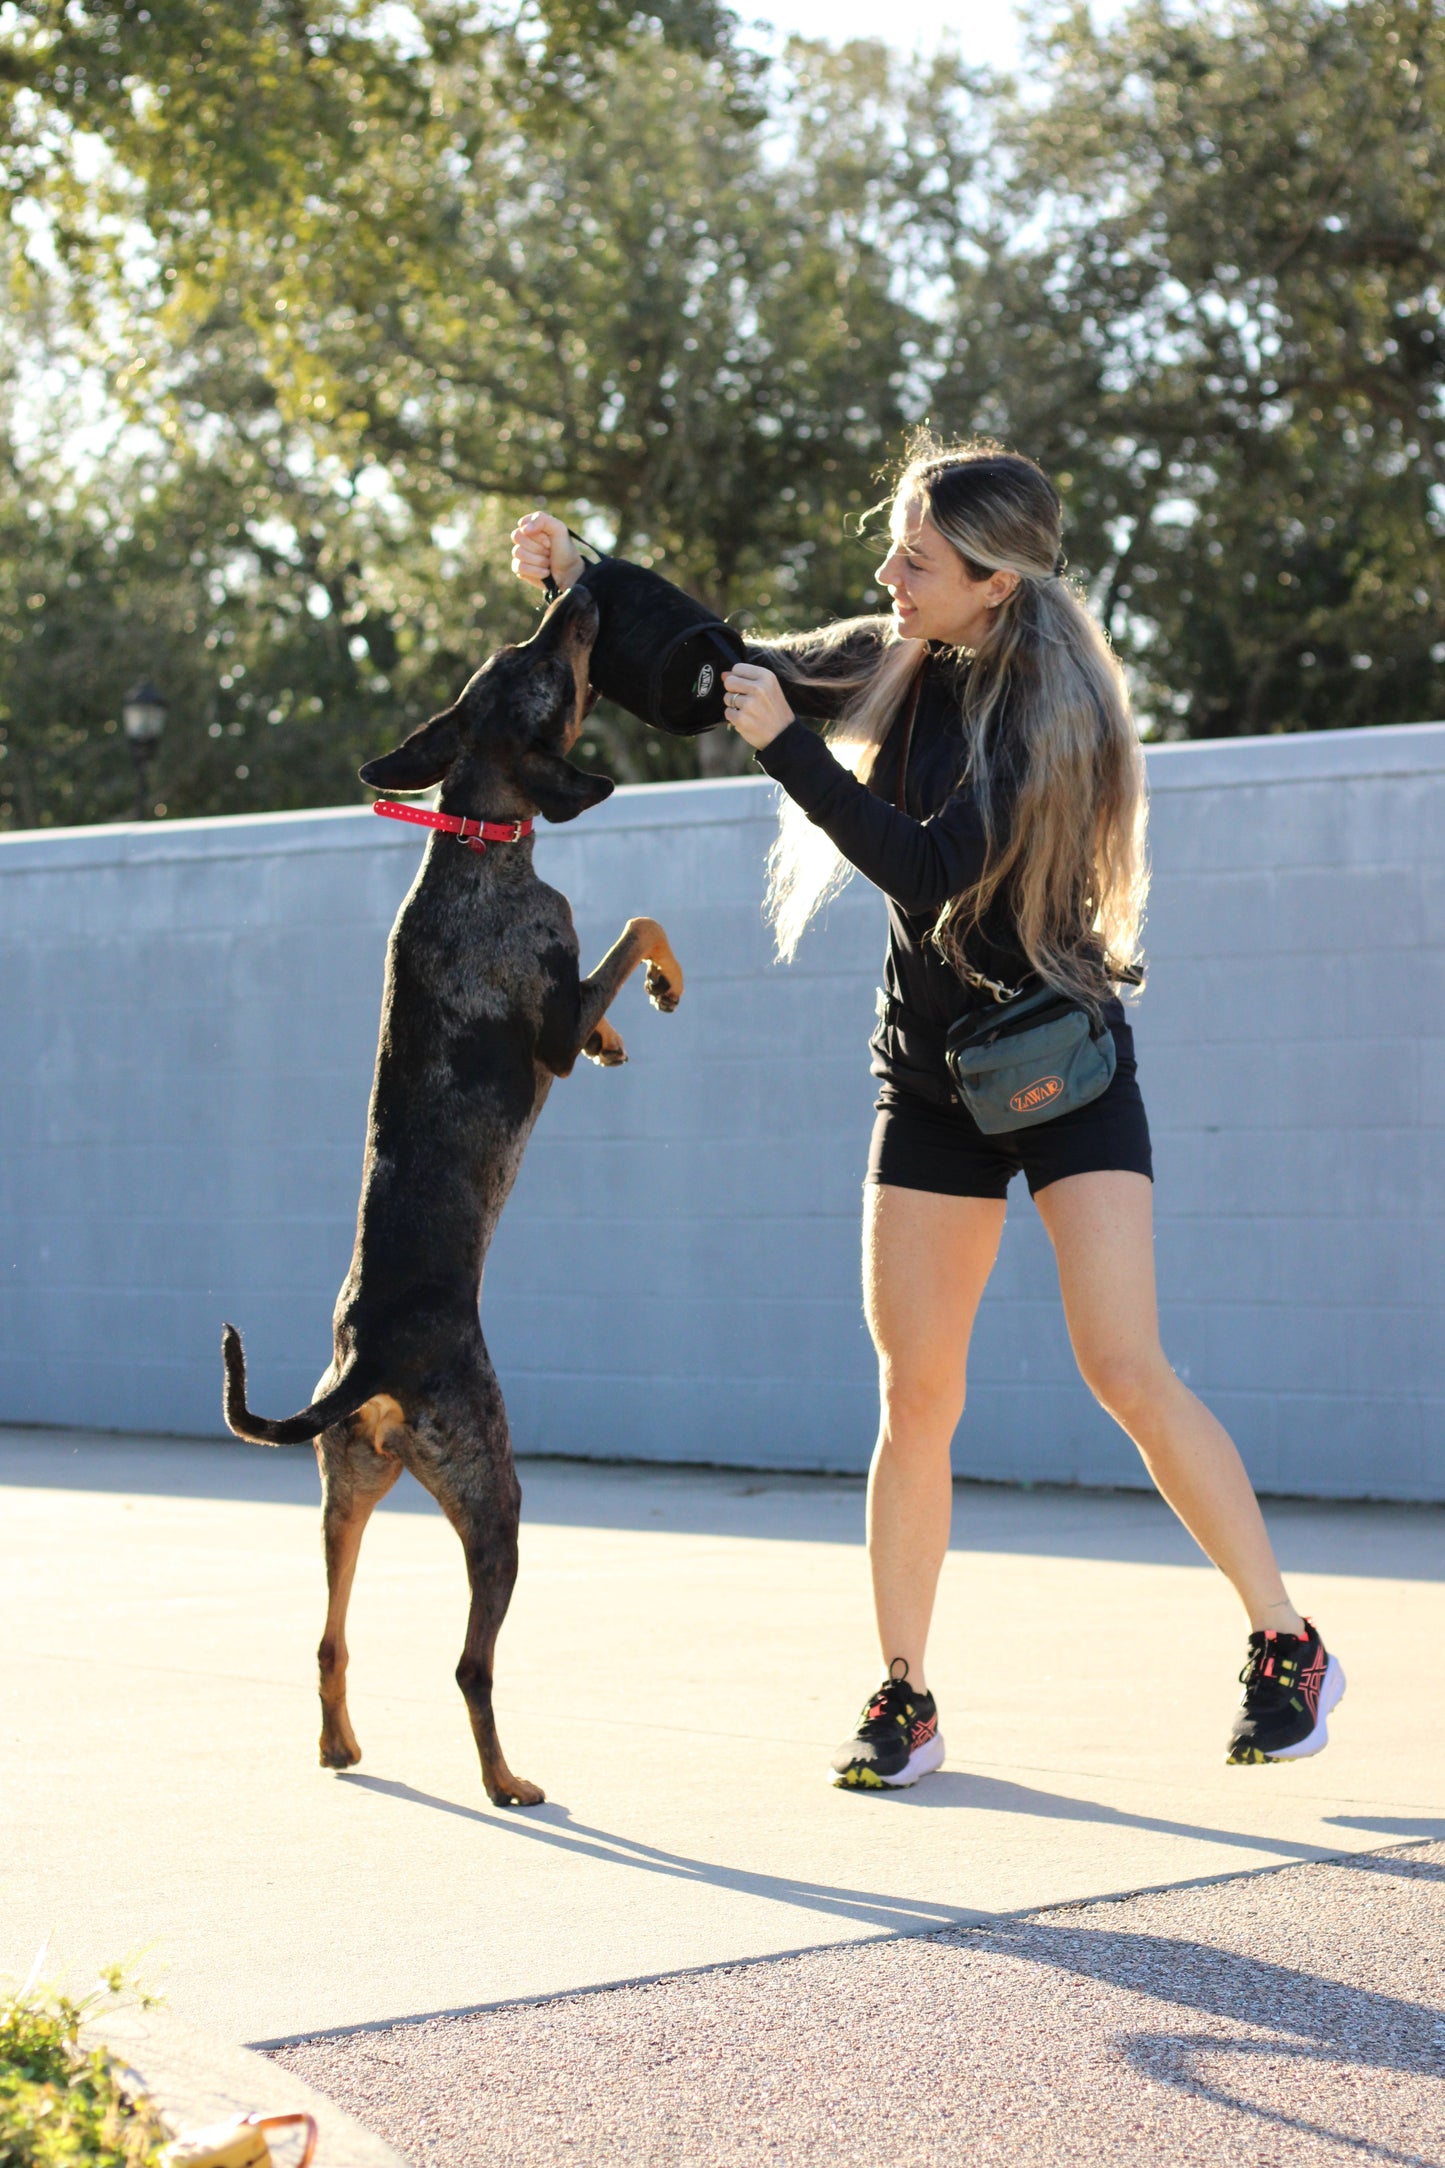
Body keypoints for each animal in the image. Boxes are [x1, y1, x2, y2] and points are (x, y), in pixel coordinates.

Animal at [222, 581, 684, 1812]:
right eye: (546, 664)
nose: (578, 588)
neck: (478, 841)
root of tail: (368, 1367)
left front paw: (627, 1029)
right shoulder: (552, 1010)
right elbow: (634, 930)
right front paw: (656, 990)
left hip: (346, 1493)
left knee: (328, 1636)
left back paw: (339, 1745)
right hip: (494, 1496)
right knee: (470, 1662)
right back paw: (506, 1780)